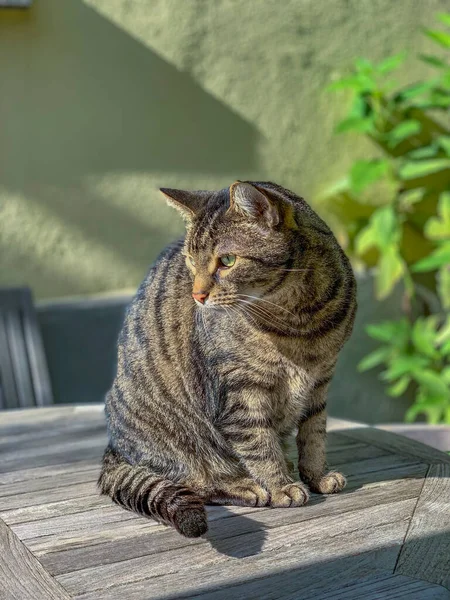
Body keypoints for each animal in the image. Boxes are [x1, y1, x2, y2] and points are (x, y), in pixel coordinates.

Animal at [98, 179, 356, 540]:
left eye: (227, 260)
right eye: (191, 262)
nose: (197, 295)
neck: (297, 322)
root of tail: (115, 448)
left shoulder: (320, 383)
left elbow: (314, 436)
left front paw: (317, 476)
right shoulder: (238, 390)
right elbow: (259, 444)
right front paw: (280, 487)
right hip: (178, 437)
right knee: (195, 482)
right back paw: (245, 485)